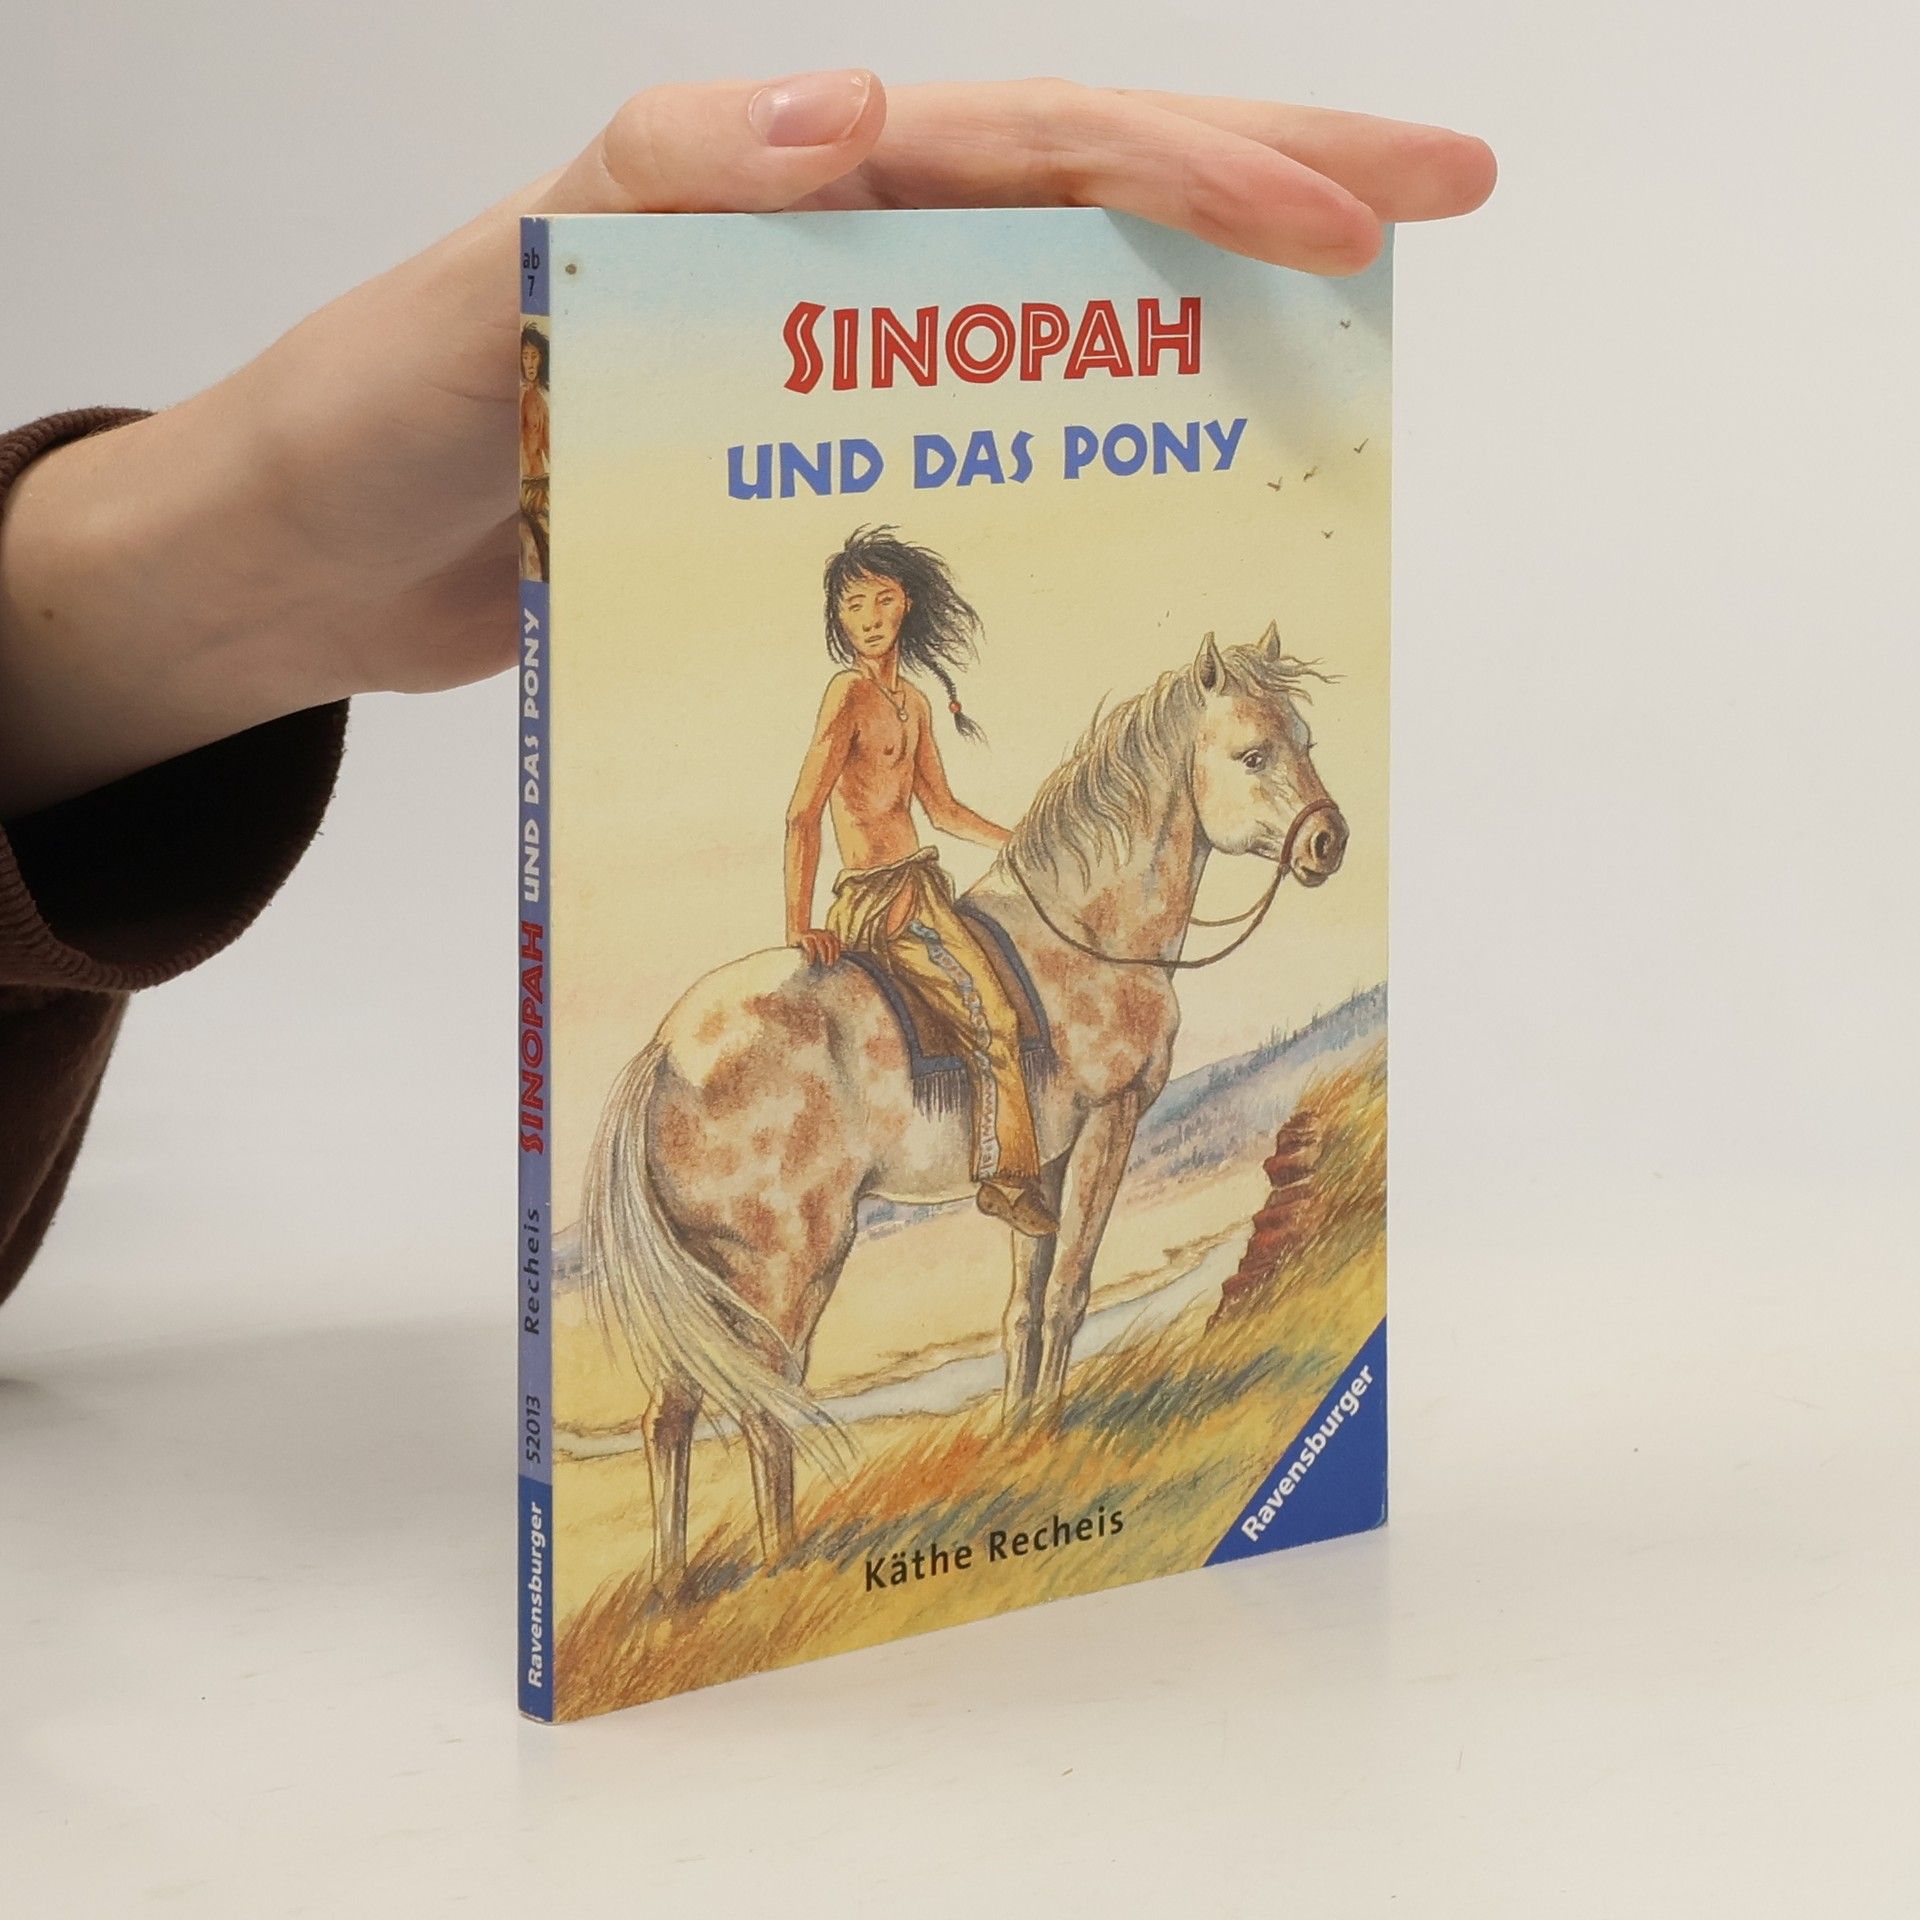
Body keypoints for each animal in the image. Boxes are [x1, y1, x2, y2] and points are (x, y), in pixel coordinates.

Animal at [578, 621, 1349, 1590]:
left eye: (1307, 742)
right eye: (1253, 753)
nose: (1329, 843)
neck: (1089, 934)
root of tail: (664, 1052)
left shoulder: (1041, 1166)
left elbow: (1023, 1305)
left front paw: (1020, 1432)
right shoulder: (1111, 1124)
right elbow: (1071, 1291)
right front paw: (1051, 1426)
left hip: (711, 1273)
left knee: (673, 1412)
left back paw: (675, 1591)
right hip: (790, 1265)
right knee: (765, 1404)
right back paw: (784, 1563)